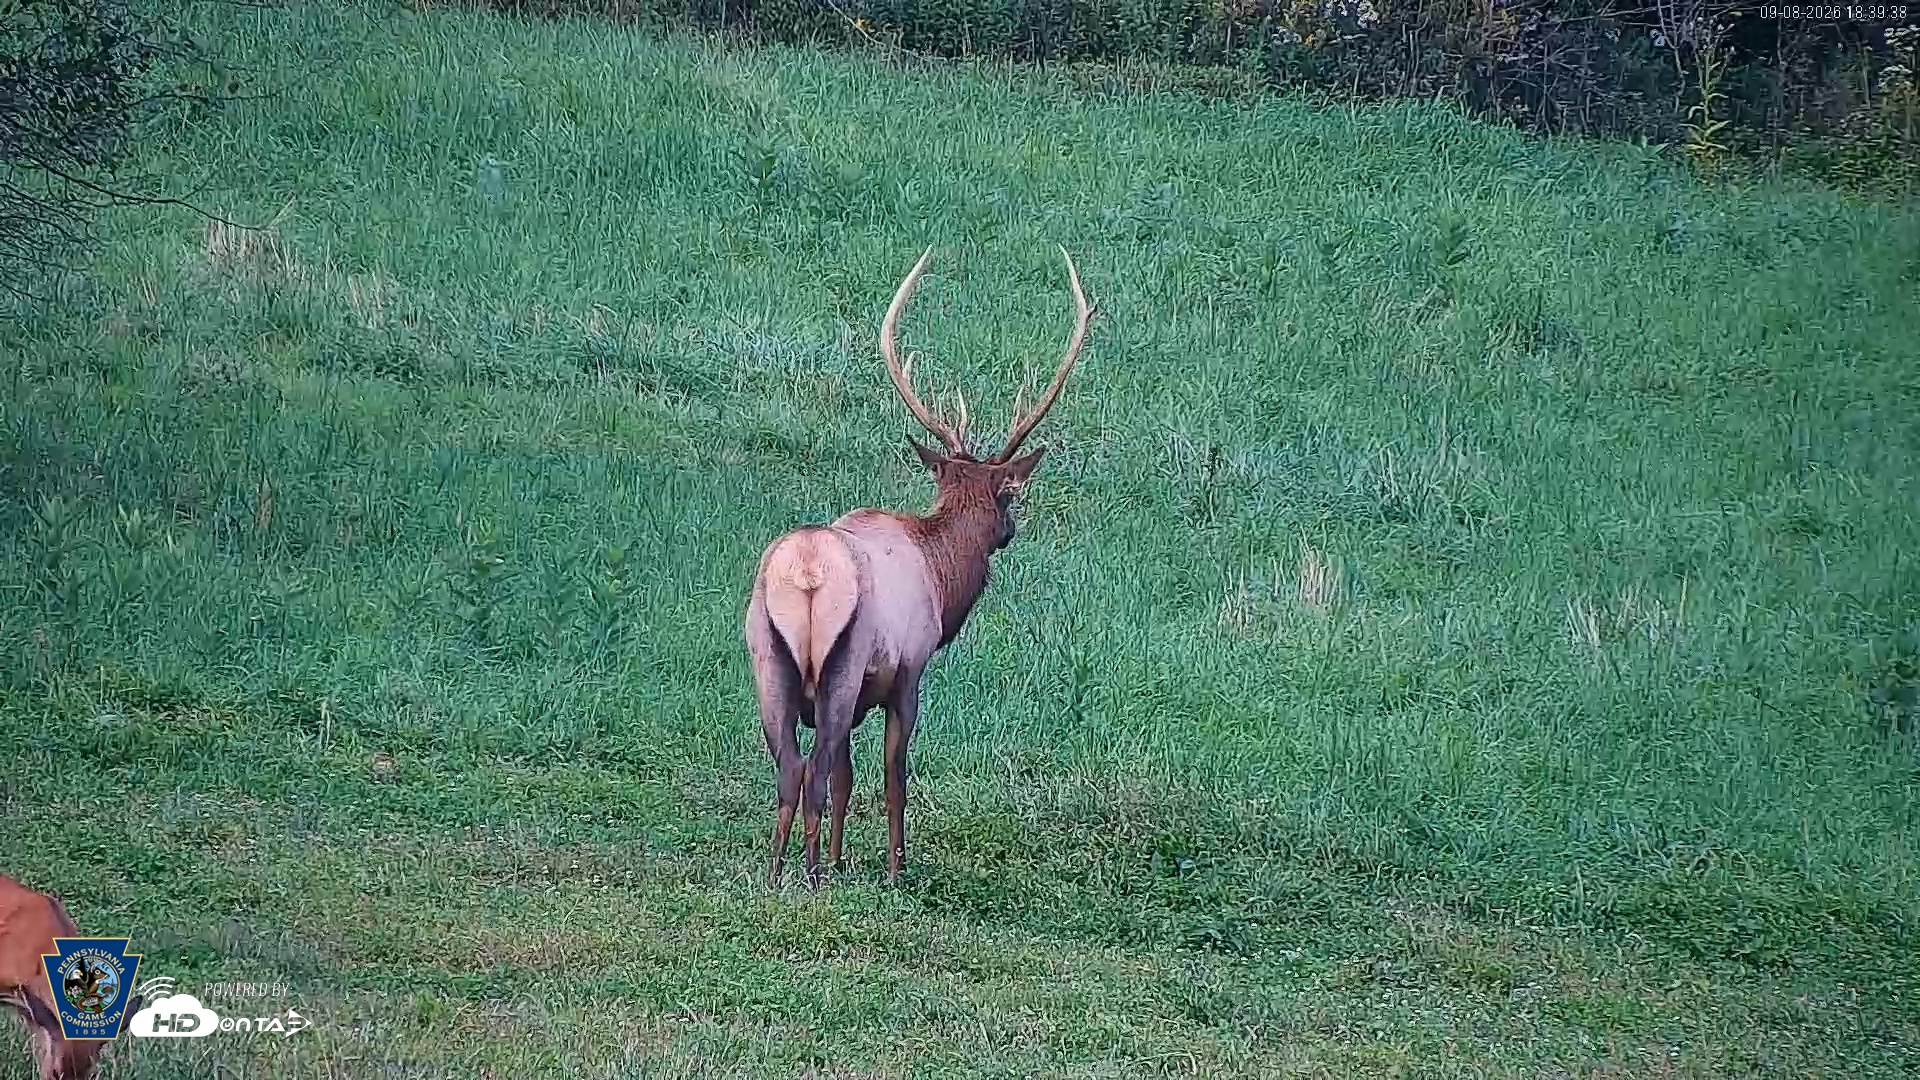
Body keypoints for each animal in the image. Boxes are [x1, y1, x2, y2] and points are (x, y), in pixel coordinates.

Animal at [743, 245, 1095, 888]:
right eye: (1009, 498)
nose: (1010, 530)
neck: (940, 572)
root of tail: (805, 574)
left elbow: (848, 779)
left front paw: (844, 860)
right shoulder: (908, 671)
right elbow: (891, 775)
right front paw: (893, 868)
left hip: (766, 660)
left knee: (790, 768)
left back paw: (780, 872)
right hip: (842, 664)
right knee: (813, 768)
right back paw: (810, 876)